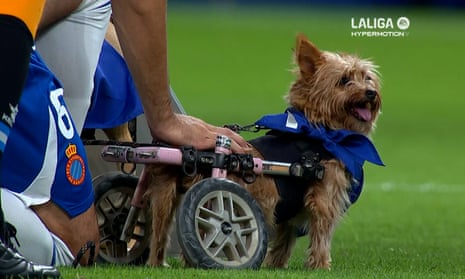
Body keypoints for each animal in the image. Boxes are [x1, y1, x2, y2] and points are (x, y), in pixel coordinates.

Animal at [147, 33, 382, 272]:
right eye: (344, 80)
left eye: (367, 78)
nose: (371, 93)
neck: (320, 131)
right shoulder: (325, 196)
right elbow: (321, 235)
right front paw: (321, 265)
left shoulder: (291, 210)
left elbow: (285, 238)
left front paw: (276, 264)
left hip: (167, 203)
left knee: (159, 235)